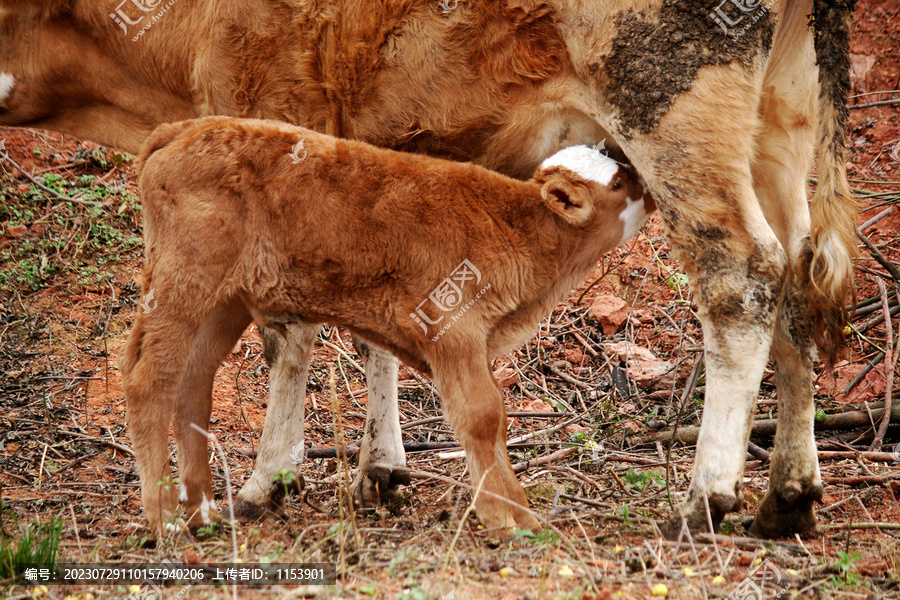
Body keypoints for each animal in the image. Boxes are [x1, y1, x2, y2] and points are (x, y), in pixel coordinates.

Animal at [121, 117, 652, 536]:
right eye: (617, 182)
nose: (648, 183)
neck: (516, 226)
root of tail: (180, 130)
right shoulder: (453, 332)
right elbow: (481, 417)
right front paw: (505, 519)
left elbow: (494, 421)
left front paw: (517, 511)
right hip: (183, 281)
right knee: (149, 379)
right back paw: (166, 519)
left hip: (224, 300)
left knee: (193, 379)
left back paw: (203, 511)